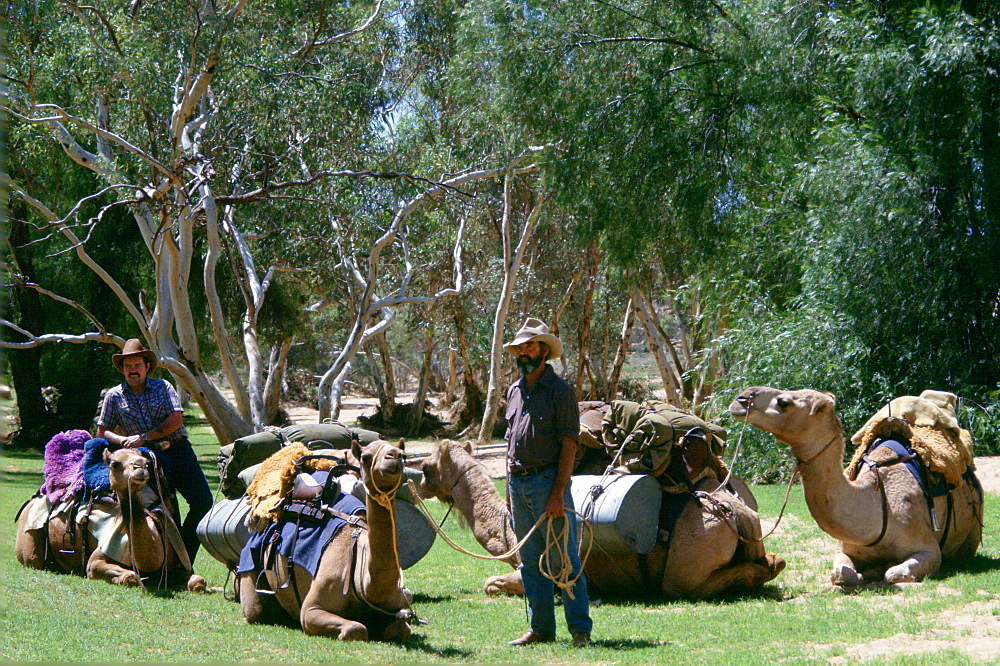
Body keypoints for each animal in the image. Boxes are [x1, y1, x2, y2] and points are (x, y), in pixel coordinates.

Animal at [15, 434, 205, 588]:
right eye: (115, 464)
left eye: (147, 463)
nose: (140, 467)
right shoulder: (98, 558)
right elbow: (128, 576)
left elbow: (198, 582)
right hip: (30, 538)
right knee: (34, 560)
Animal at [237, 438, 414, 640]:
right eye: (366, 457)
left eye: (403, 456)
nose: (393, 457)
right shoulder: (311, 610)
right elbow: (356, 629)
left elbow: (402, 629)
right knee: (256, 611)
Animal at [414, 436, 780, 596]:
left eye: (427, 467)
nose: (418, 484)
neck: (510, 529)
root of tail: (733, 510)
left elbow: (491, 584)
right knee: (772, 561)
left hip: (688, 562)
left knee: (682, 586)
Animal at [732, 384, 980, 588]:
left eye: (784, 402)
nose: (741, 399)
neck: (880, 508)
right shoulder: (845, 548)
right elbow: (842, 574)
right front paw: (864, 573)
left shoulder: (929, 549)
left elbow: (894, 573)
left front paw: (880, 570)